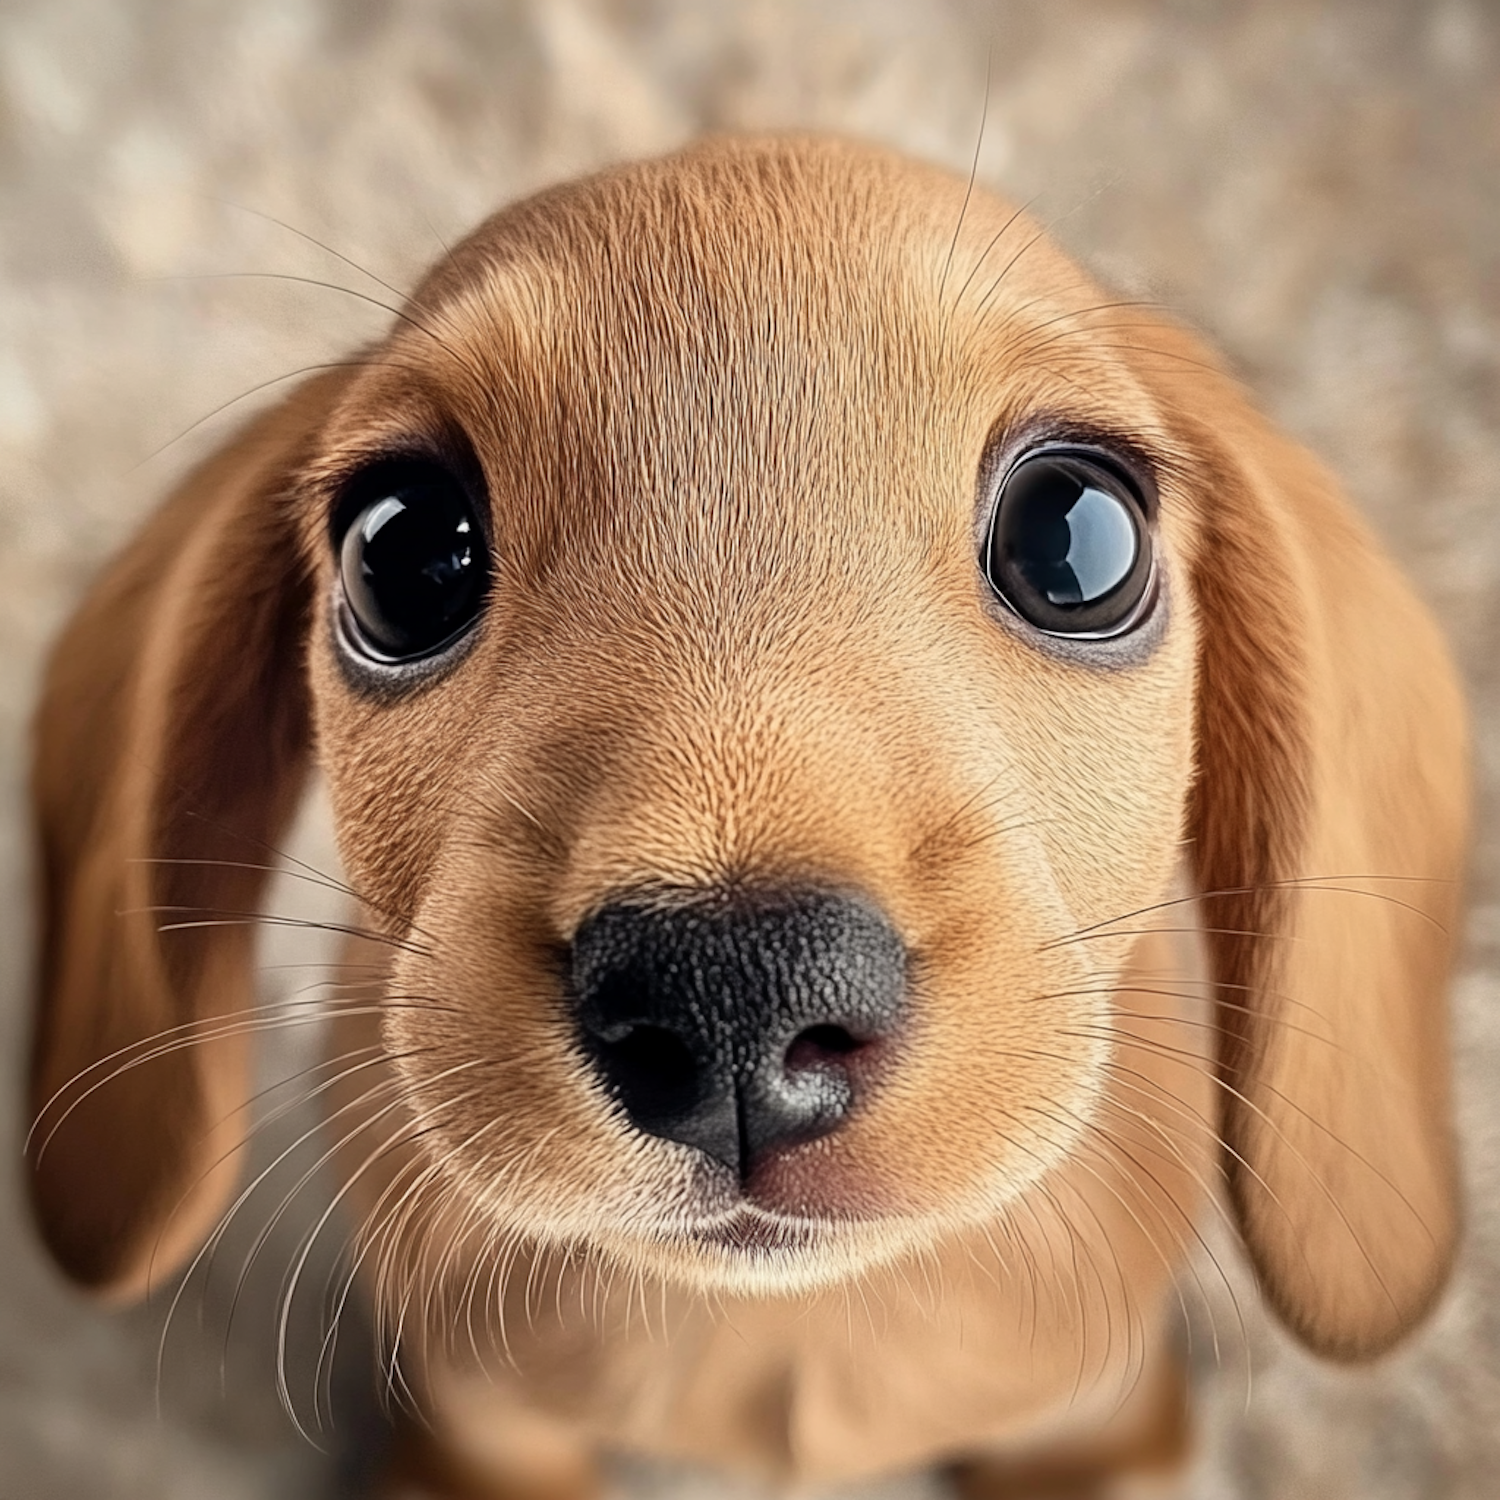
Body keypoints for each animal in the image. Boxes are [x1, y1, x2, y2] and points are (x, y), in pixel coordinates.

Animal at [29, 135, 1470, 1494]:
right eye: (403, 551)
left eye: (1076, 541)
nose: (735, 993)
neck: (782, 1336)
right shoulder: (478, 1425)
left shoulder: (1097, 1422)